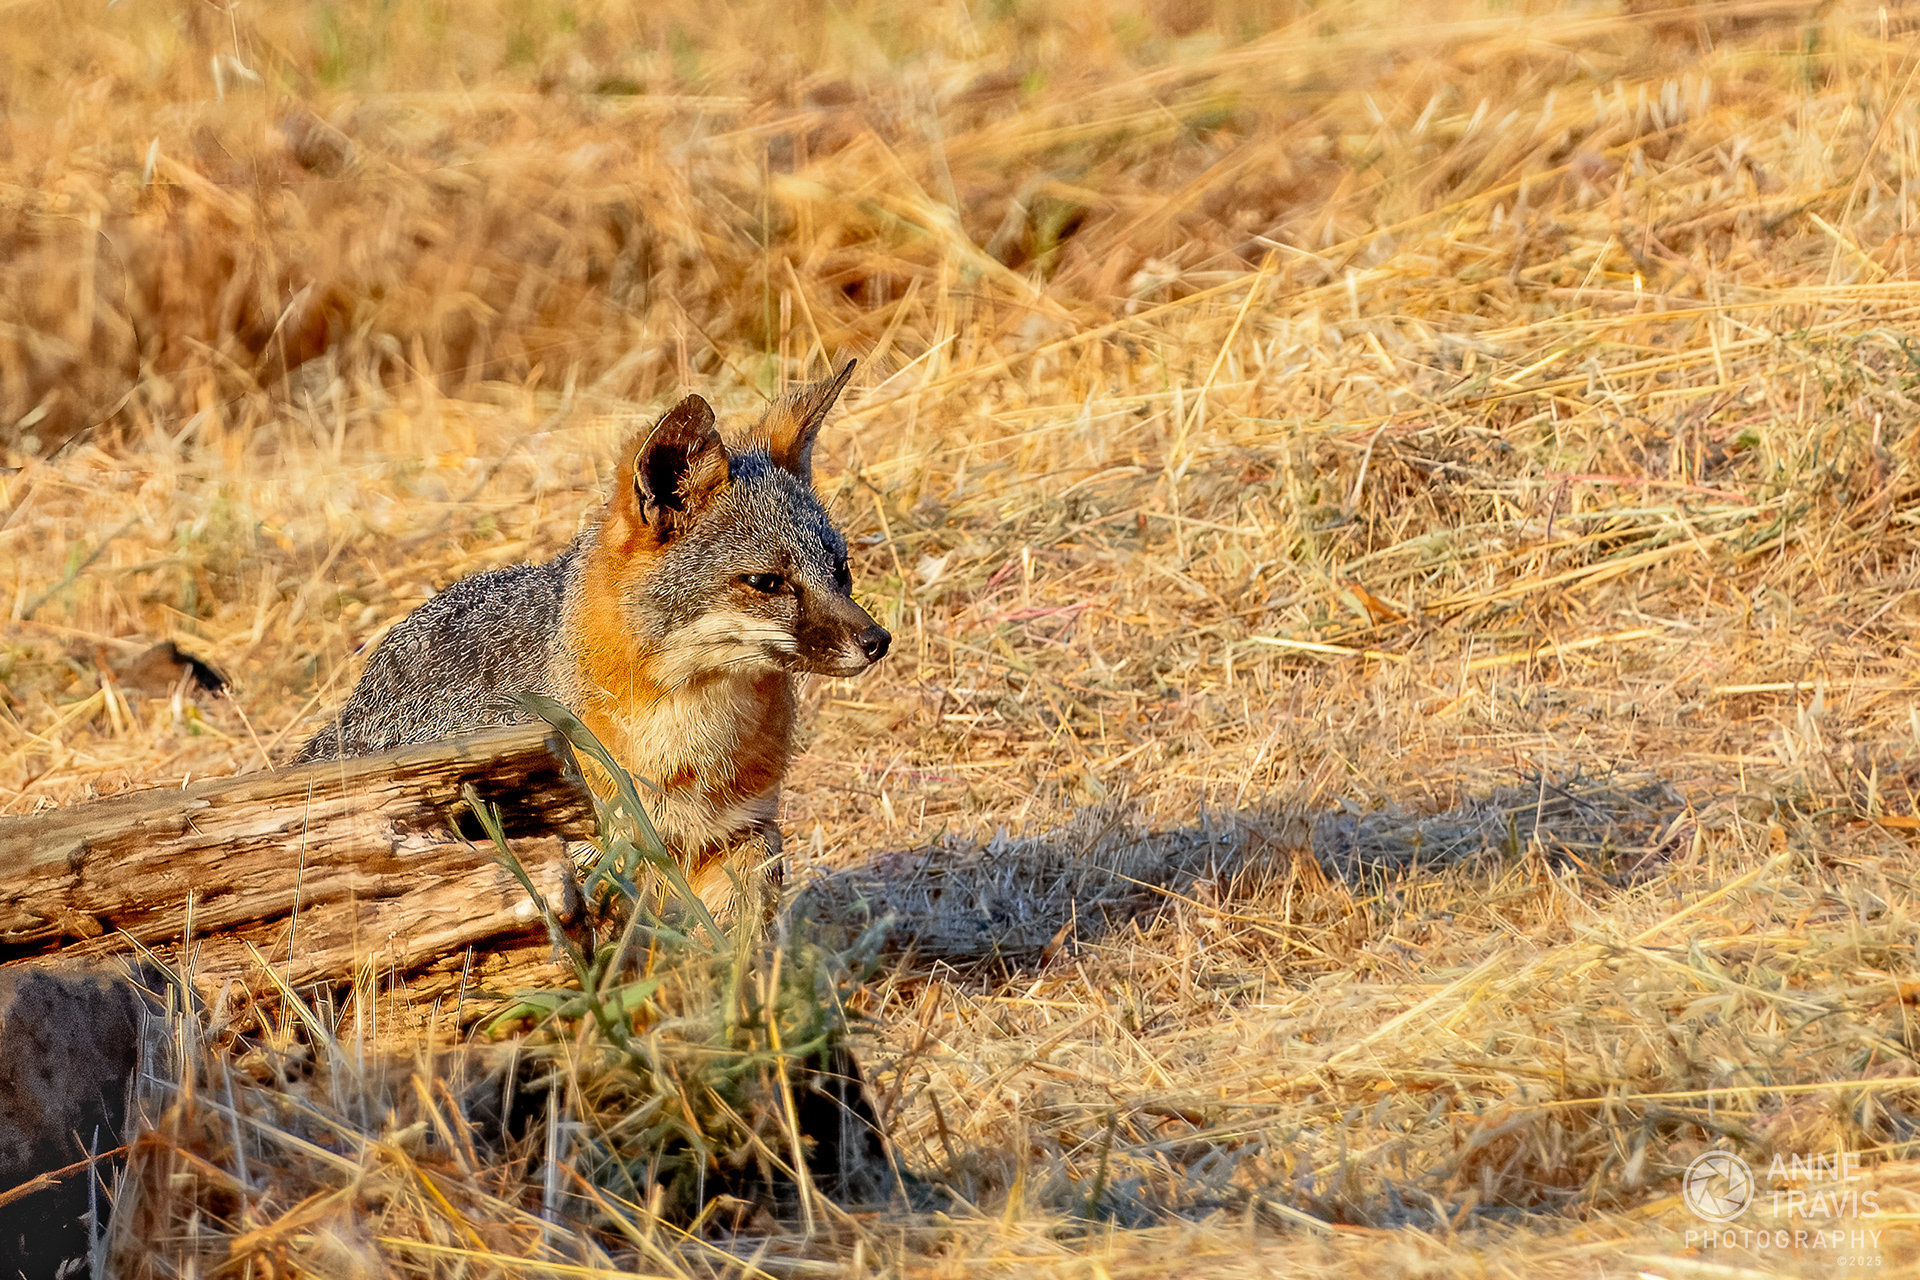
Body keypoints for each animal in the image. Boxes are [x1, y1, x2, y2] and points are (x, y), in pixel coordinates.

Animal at [296, 361, 891, 912]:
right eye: (767, 582)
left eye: (840, 570)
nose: (877, 640)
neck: (686, 748)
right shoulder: (585, 857)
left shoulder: (743, 833)